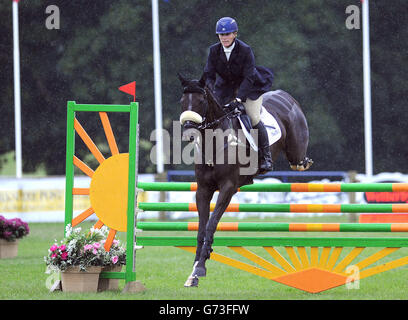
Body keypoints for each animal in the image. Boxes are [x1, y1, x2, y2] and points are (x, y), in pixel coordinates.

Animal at [177, 74, 314, 286]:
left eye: (201, 101)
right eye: (183, 101)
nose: (189, 132)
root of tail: (284, 95)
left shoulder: (228, 188)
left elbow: (211, 224)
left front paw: (200, 267)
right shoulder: (203, 190)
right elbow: (201, 228)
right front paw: (195, 269)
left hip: (295, 153)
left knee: (298, 161)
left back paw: (303, 162)